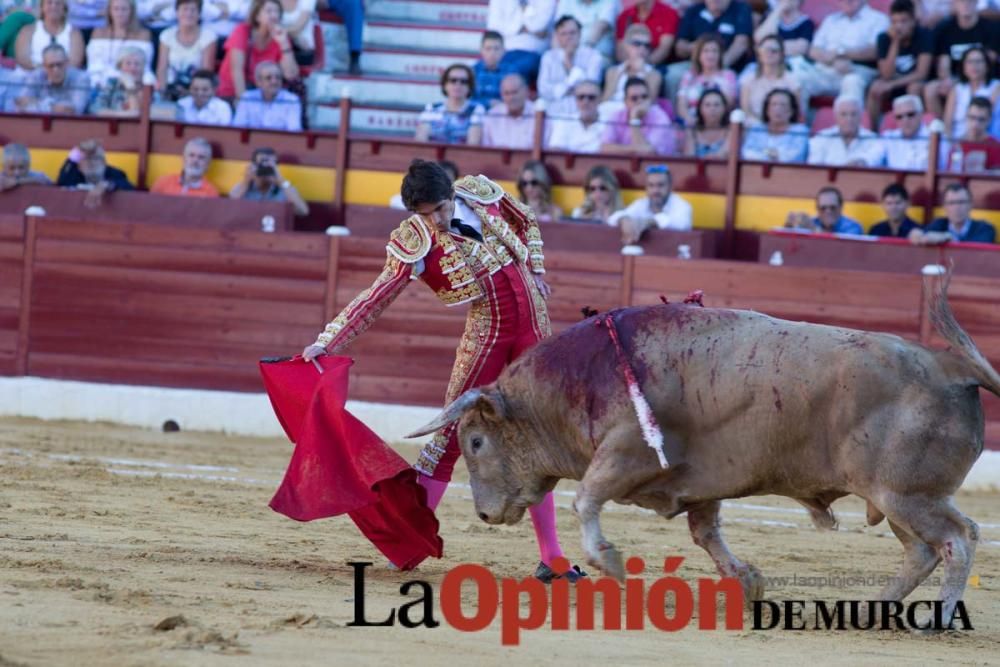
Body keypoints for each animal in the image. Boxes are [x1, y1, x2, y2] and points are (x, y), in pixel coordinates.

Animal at [408, 274, 1000, 624]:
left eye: (476, 441)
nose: (485, 513)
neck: (578, 380)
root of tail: (954, 368)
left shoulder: (625, 454)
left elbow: (585, 499)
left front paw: (609, 561)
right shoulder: (701, 484)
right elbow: (706, 532)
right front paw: (748, 581)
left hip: (908, 495)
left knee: (957, 539)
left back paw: (937, 621)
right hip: (897, 499)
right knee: (922, 550)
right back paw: (870, 610)